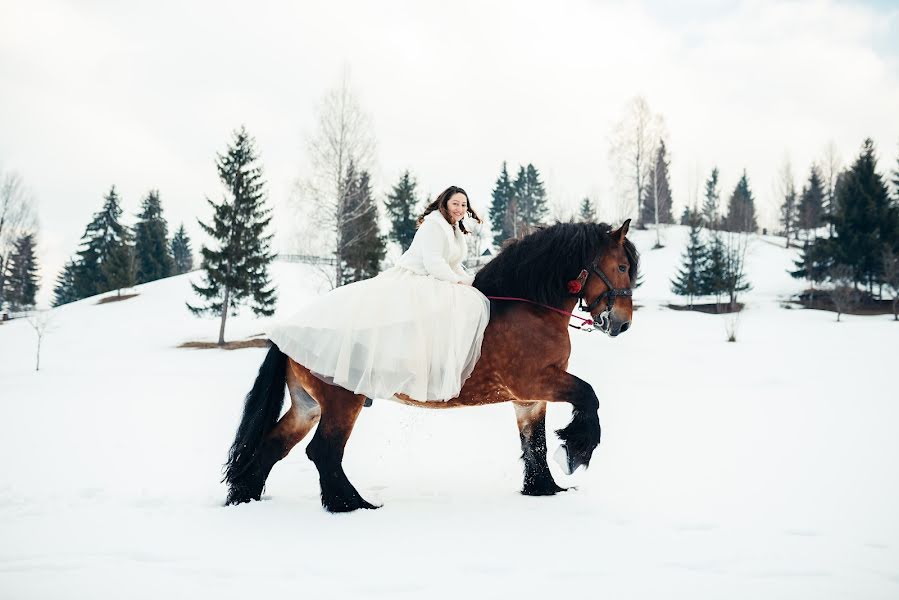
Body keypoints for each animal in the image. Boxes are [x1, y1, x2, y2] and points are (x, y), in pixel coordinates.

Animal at [225, 219, 640, 510]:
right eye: (622, 267)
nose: (621, 324)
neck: (529, 308)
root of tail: (288, 331)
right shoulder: (537, 382)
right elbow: (589, 396)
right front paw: (576, 453)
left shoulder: (528, 399)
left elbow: (533, 443)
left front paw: (544, 488)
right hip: (343, 401)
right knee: (323, 452)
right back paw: (351, 505)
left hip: (308, 404)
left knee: (273, 445)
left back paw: (246, 497)